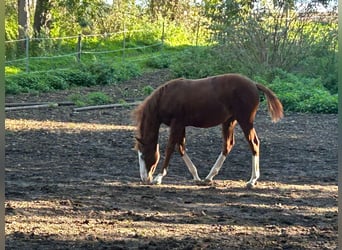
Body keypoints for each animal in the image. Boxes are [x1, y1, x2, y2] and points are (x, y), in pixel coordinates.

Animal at [131, 73, 284, 188]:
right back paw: (209, 177)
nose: (144, 178)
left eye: (143, 155)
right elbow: (181, 147)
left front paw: (158, 178)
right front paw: (196, 177)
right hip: (229, 122)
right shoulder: (181, 125)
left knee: (254, 143)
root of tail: (254, 84)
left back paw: (252, 180)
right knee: (228, 145)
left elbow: (170, 148)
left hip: (245, 121)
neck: (166, 97)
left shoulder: (176, 124)